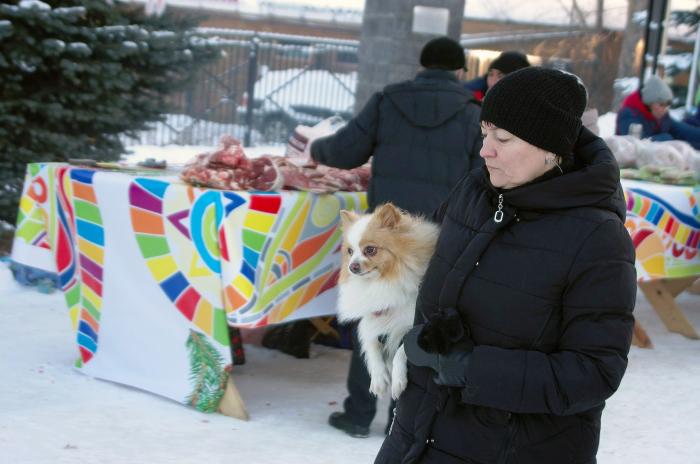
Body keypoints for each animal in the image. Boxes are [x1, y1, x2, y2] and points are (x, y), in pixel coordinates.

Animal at [338, 203, 438, 398]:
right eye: (350, 251)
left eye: (370, 250)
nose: (352, 266)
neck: (380, 282)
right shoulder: (372, 319)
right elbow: (371, 344)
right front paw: (378, 379)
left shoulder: (415, 325)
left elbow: (402, 350)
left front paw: (398, 380)